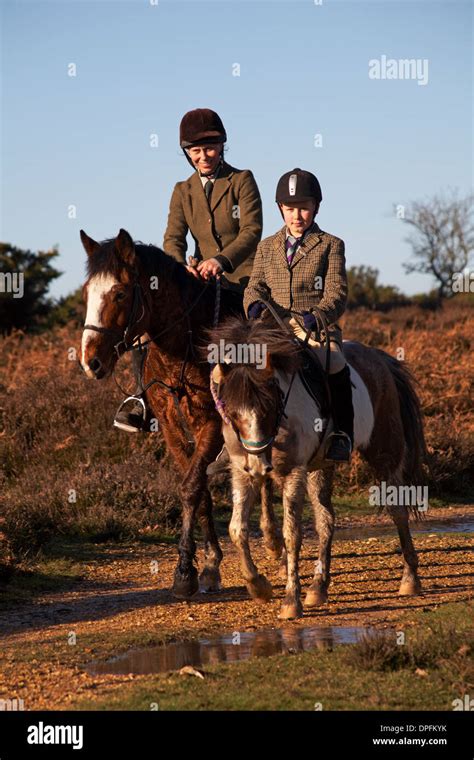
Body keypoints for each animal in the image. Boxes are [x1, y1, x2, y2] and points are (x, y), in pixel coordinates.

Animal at [79, 227, 284, 600]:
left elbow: (191, 487)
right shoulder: (170, 424)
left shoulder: (212, 423)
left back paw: (274, 540)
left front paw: (185, 573)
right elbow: (198, 488)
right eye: (88, 293)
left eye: (119, 293)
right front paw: (210, 564)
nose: (91, 362)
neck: (183, 345)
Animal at [207, 318, 426, 620]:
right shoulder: (242, 472)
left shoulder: (293, 472)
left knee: (398, 511)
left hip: (384, 453)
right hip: (320, 467)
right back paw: (318, 587)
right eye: (230, 410)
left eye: (270, 404)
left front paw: (290, 601)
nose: (260, 465)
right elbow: (237, 530)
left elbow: (292, 534)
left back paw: (410, 579)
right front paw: (258, 586)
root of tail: (378, 357)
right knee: (325, 520)